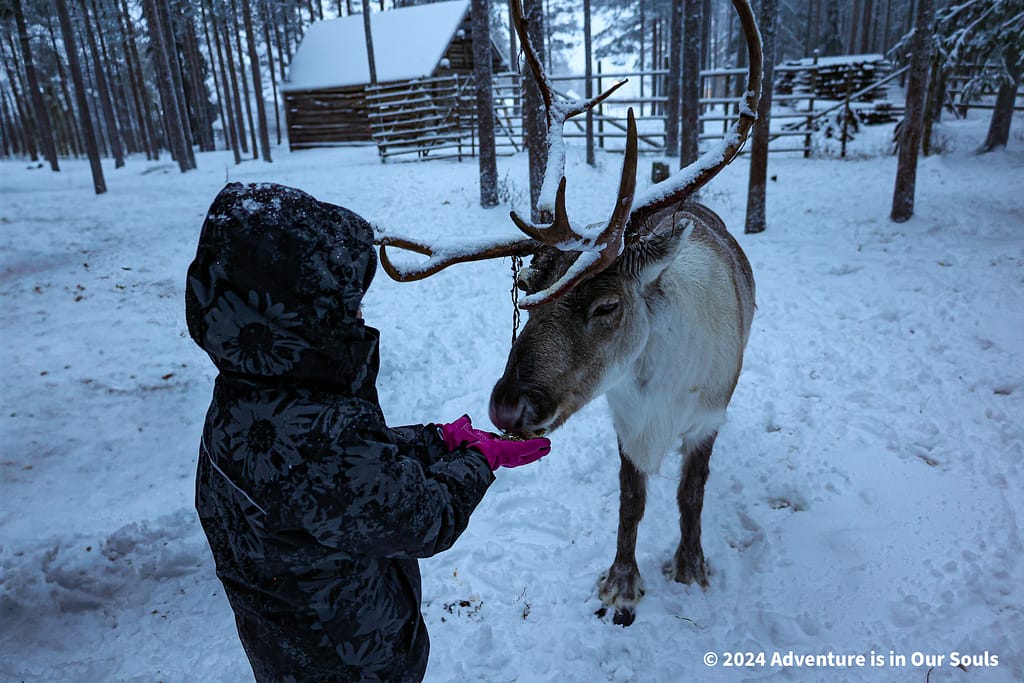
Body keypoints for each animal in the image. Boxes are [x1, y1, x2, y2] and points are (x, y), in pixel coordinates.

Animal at [374, 0, 762, 627]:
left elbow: (691, 494)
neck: (657, 385)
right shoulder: (625, 423)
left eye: (606, 304)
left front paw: (690, 565)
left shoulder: (707, 419)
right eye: (527, 288)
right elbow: (631, 501)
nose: (507, 405)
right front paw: (622, 581)